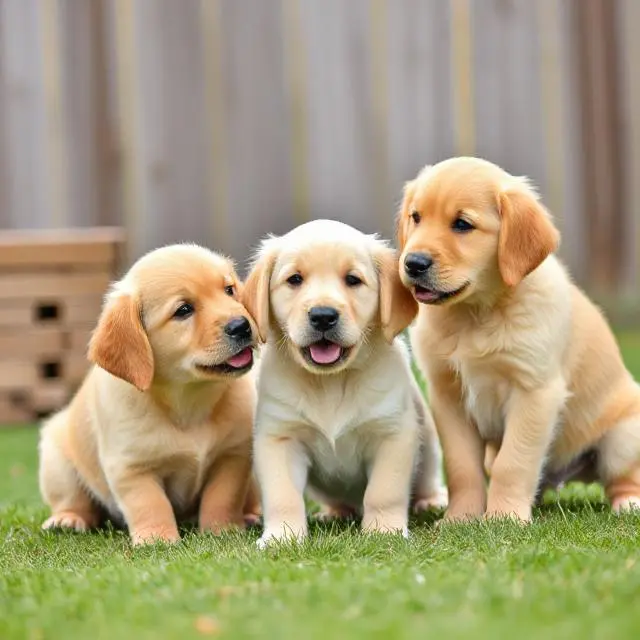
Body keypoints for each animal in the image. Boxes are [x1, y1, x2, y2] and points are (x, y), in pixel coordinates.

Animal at [39, 242, 260, 544]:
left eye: (229, 290)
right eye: (183, 310)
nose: (242, 325)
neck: (189, 398)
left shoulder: (232, 457)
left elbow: (222, 498)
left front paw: (223, 530)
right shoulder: (132, 468)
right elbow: (150, 504)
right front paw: (158, 539)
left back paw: (251, 515)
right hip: (57, 460)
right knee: (74, 500)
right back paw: (67, 519)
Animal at [242, 219, 448, 544]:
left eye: (353, 280)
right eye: (295, 279)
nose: (323, 316)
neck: (330, 382)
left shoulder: (392, 434)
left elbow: (383, 491)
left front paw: (384, 531)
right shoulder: (279, 437)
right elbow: (282, 495)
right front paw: (281, 537)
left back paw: (430, 501)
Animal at [398, 158, 640, 524]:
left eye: (462, 224)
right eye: (416, 217)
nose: (412, 263)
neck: (477, 314)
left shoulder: (534, 392)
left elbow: (513, 462)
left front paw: (504, 518)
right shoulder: (447, 395)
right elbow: (462, 467)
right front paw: (460, 518)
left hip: (623, 438)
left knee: (622, 478)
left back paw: (628, 503)